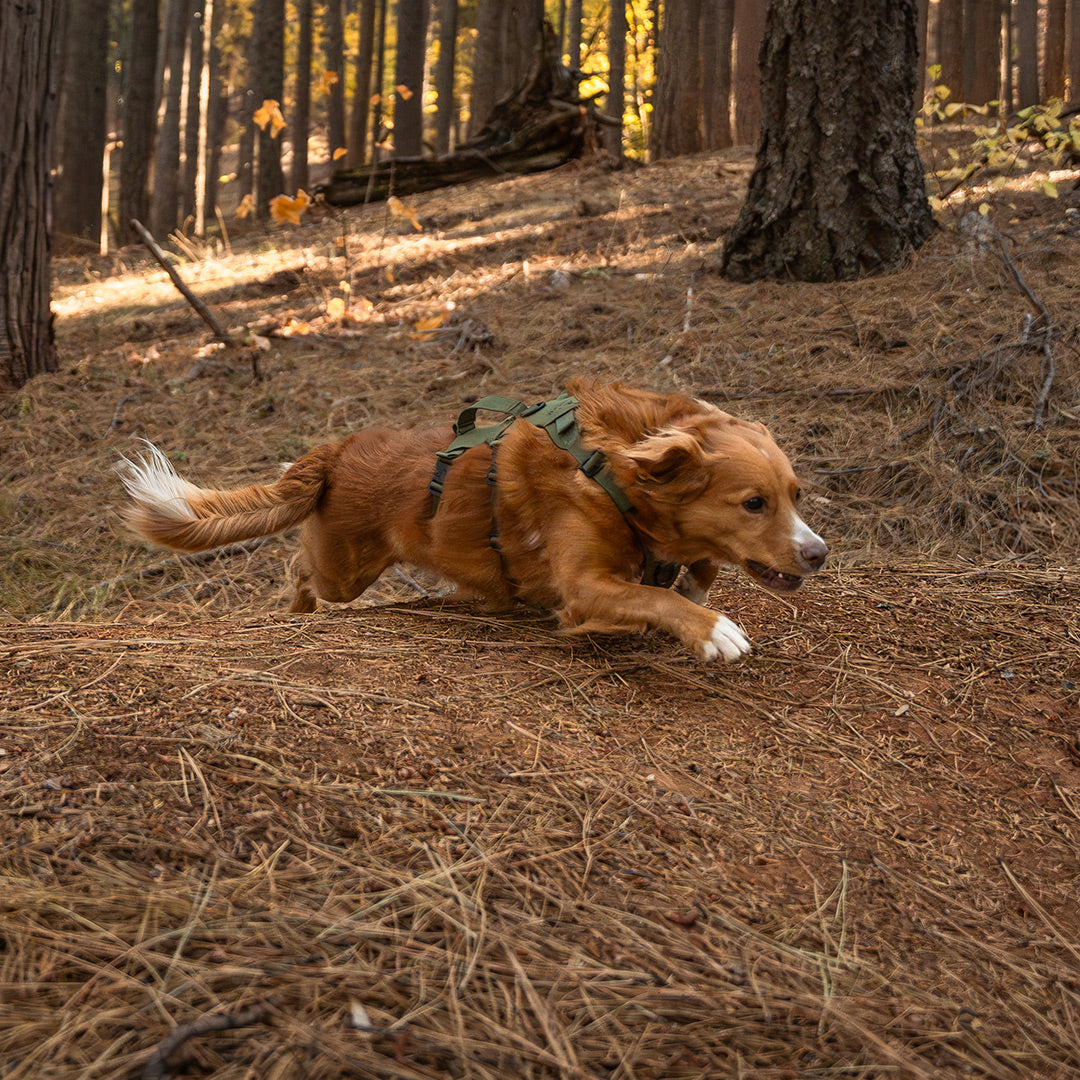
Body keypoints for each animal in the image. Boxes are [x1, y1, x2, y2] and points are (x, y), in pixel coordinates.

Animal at [118, 380, 825, 665]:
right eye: (753, 503)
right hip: (344, 569)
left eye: (794, 494)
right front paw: (713, 631)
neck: (614, 467)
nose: (818, 553)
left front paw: (697, 583)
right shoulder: (582, 587)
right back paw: (298, 613)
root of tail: (337, 449)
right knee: (299, 571)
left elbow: (692, 570)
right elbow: (657, 597)